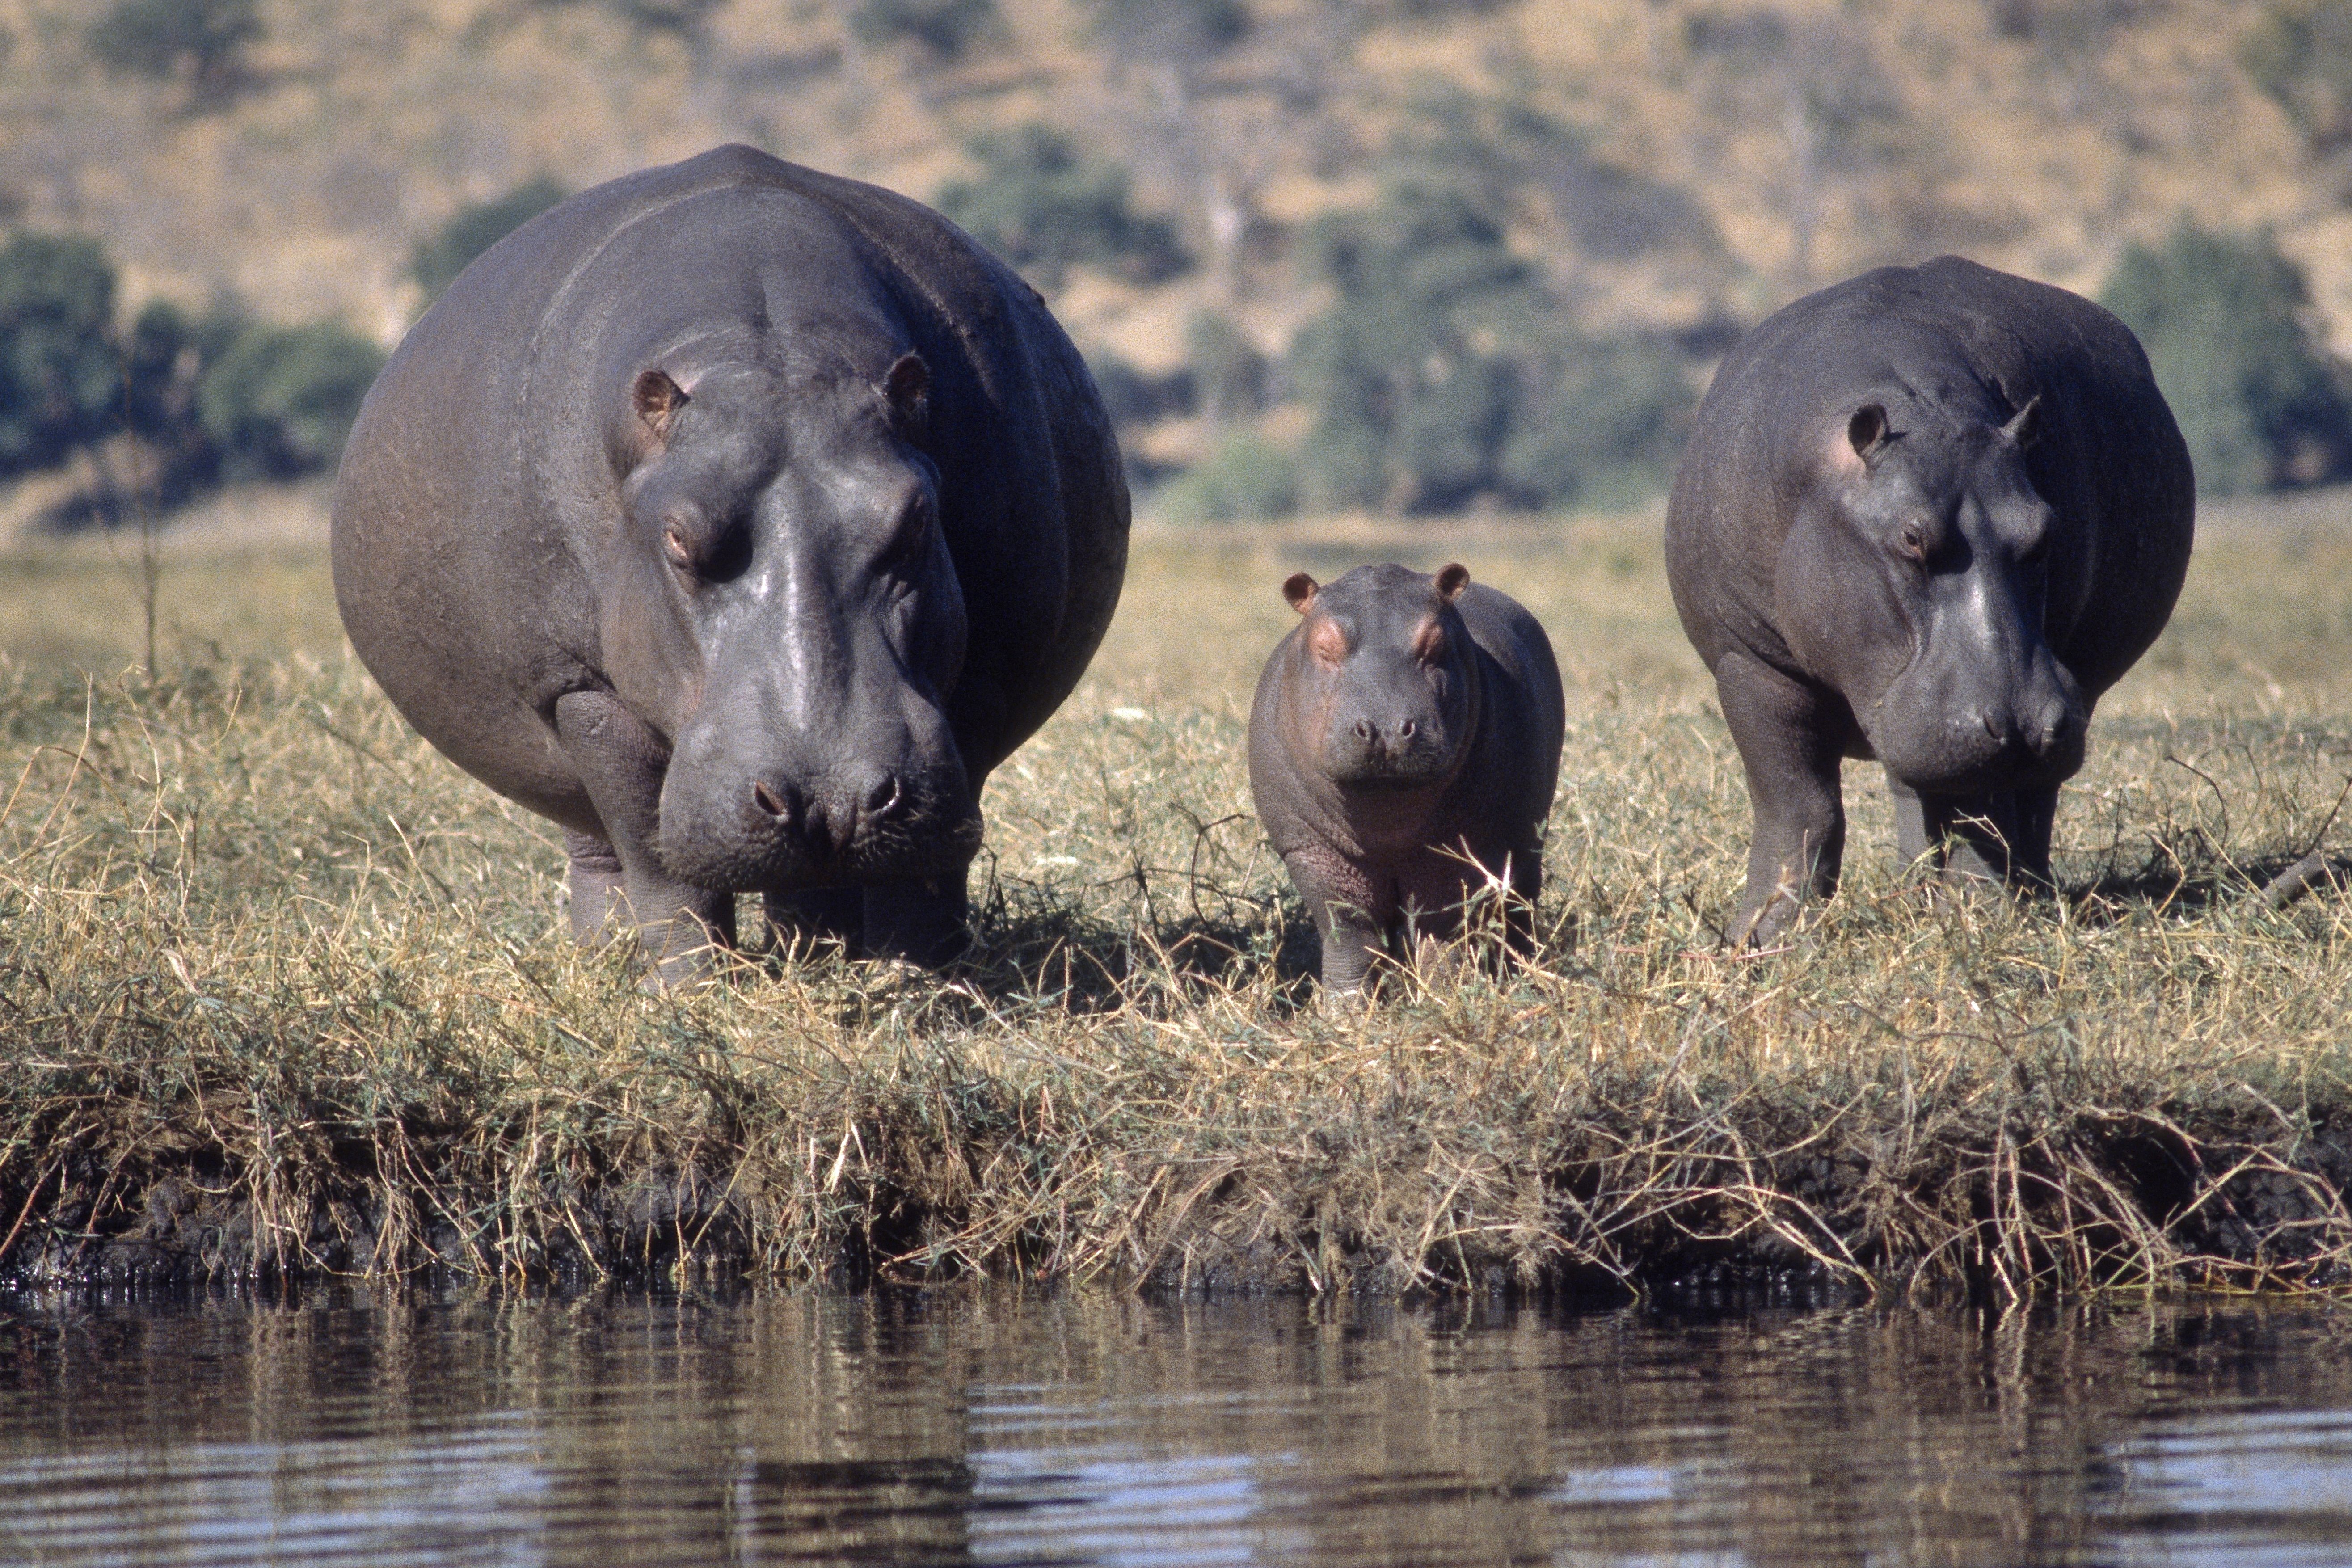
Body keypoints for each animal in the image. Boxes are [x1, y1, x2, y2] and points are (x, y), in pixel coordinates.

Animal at [332, 145, 1129, 978]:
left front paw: (919, 981)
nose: (831, 796)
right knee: (600, 849)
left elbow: (927, 872)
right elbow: (656, 857)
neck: (769, 361)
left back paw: (818, 958)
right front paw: (692, 988)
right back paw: (606, 960)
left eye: (915, 518)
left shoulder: (983, 677)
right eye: (679, 538)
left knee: (809, 883)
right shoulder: (579, 688)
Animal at [1249, 562, 1566, 996]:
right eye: (1324, 646)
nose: (1385, 729)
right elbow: (1349, 934)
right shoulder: (1312, 850)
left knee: (1519, 904)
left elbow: (1440, 933)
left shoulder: (1454, 852)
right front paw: (1346, 1007)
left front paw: (1445, 997)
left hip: (1526, 841)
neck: (1385, 818)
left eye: (1437, 644)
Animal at [1664, 255, 2194, 944]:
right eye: (1911, 537)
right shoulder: (1749, 662)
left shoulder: (1996, 718)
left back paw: (2016, 895)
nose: (2026, 723)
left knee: (2023, 802)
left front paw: (1975, 920)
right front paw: (1764, 936)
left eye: (2045, 529)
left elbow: (1980, 813)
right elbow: (1797, 803)